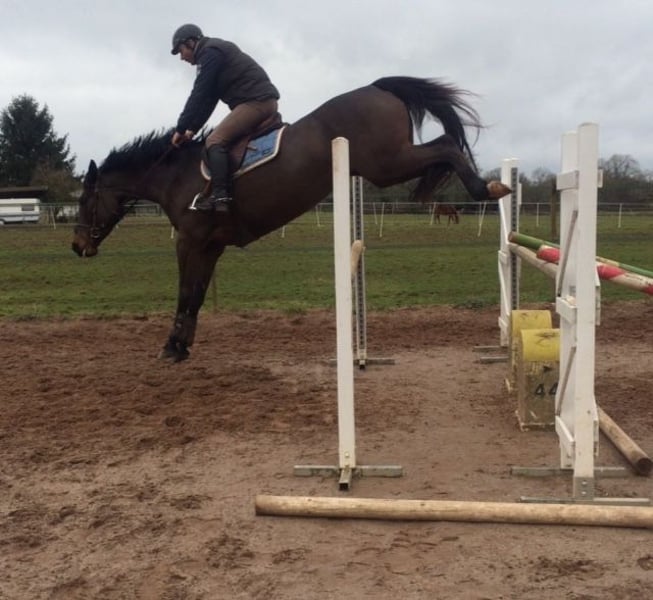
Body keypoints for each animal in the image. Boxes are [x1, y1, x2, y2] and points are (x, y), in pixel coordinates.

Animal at [72, 76, 510, 362]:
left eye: (85, 200)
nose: (77, 246)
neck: (176, 175)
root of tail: (376, 87)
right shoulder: (211, 247)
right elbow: (195, 295)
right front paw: (183, 345)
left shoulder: (189, 242)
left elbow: (183, 292)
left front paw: (171, 347)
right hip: (387, 164)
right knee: (445, 145)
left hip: (388, 163)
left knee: (447, 145)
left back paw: (485, 188)